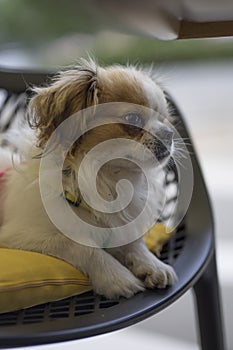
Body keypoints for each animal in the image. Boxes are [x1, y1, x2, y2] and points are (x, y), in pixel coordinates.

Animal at [0, 59, 177, 298]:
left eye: (165, 119)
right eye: (133, 118)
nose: (169, 133)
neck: (108, 183)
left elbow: (134, 245)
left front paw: (153, 265)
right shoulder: (22, 236)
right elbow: (84, 247)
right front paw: (116, 277)